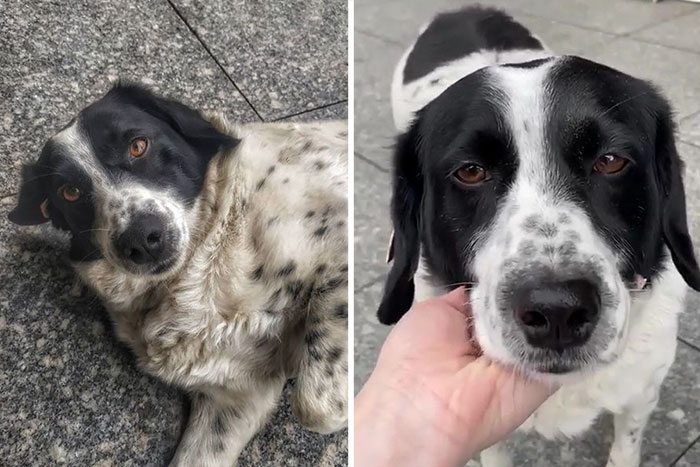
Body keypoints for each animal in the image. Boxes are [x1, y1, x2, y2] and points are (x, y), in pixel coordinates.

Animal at [380, 4, 700, 467]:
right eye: (470, 171)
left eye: (610, 161)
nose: (558, 309)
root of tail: (465, 9)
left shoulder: (642, 394)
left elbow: (625, 446)